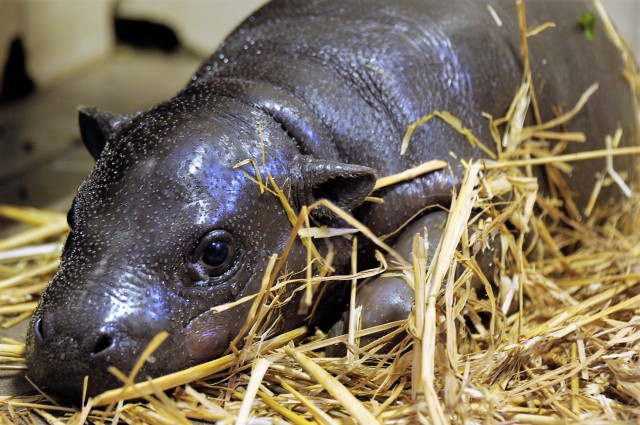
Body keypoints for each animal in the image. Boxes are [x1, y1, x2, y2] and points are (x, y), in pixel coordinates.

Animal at [26, 0, 638, 397]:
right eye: (71, 215)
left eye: (217, 251)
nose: (70, 340)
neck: (279, 104)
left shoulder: (459, 190)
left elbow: (417, 273)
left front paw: (337, 339)